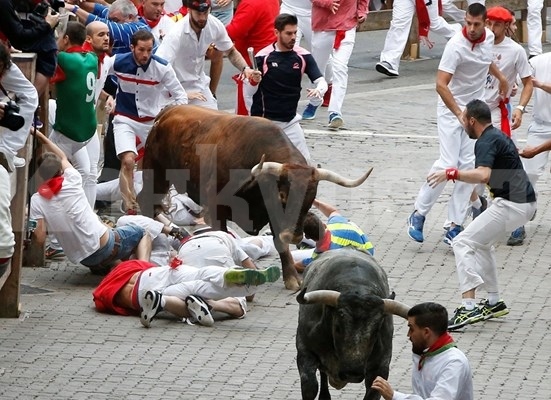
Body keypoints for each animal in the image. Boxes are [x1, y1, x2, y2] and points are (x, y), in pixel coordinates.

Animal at [138, 104, 374, 290]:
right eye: (283, 197)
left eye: (310, 201)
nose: (295, 236)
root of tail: (168, 111)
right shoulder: (215, 209)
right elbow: (223, 237)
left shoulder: (273, 215)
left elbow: (280, 243)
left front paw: (291, 278)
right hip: (156, 173)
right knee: (148, 202)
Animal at [298, 248, 410, 398]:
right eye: (338, 328)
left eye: (376, 331)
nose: (352, 373)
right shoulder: (304, 351)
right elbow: (310, 386)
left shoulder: (381, 366)